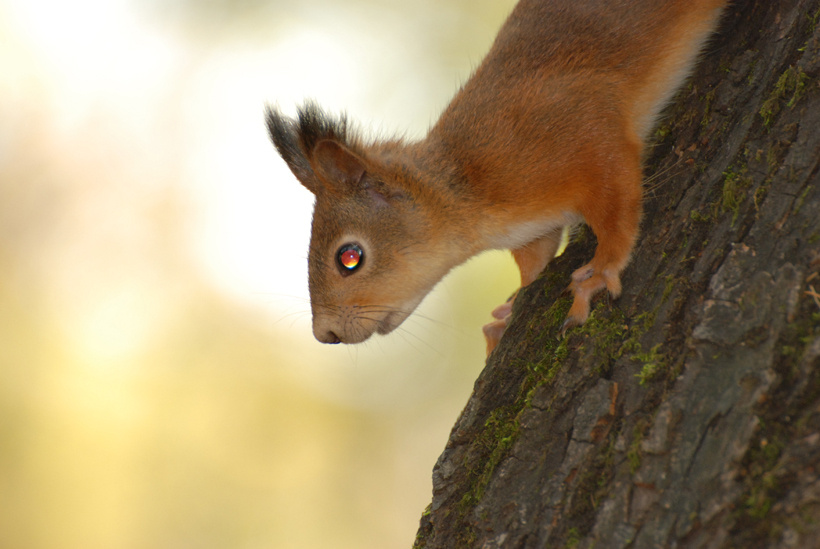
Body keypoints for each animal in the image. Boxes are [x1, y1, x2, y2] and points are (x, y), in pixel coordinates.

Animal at [266, 0, 728, 354]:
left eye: (350, 257)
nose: (325, 334)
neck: (465, 188)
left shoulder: (582, 136)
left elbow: (617, 207)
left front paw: (598, 273)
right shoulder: (531, 230)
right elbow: (535, 261)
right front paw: (510, 309)